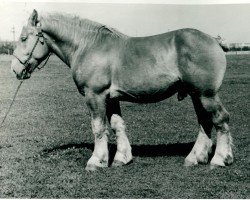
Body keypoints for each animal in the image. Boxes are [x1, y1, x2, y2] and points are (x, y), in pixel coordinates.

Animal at [10, 10, 233, 170]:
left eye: (23, 38)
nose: (15, 69)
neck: (87, 46)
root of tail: (214, 40)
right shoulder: (111, 98)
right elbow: (118, 126)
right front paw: (121, 158)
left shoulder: (95, 96)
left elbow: (98, 127)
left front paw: (96, 161)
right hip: (196, 95)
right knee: (205, 122)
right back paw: (195, 158)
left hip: (206, 94)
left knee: (220, 119)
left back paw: (220, 159)